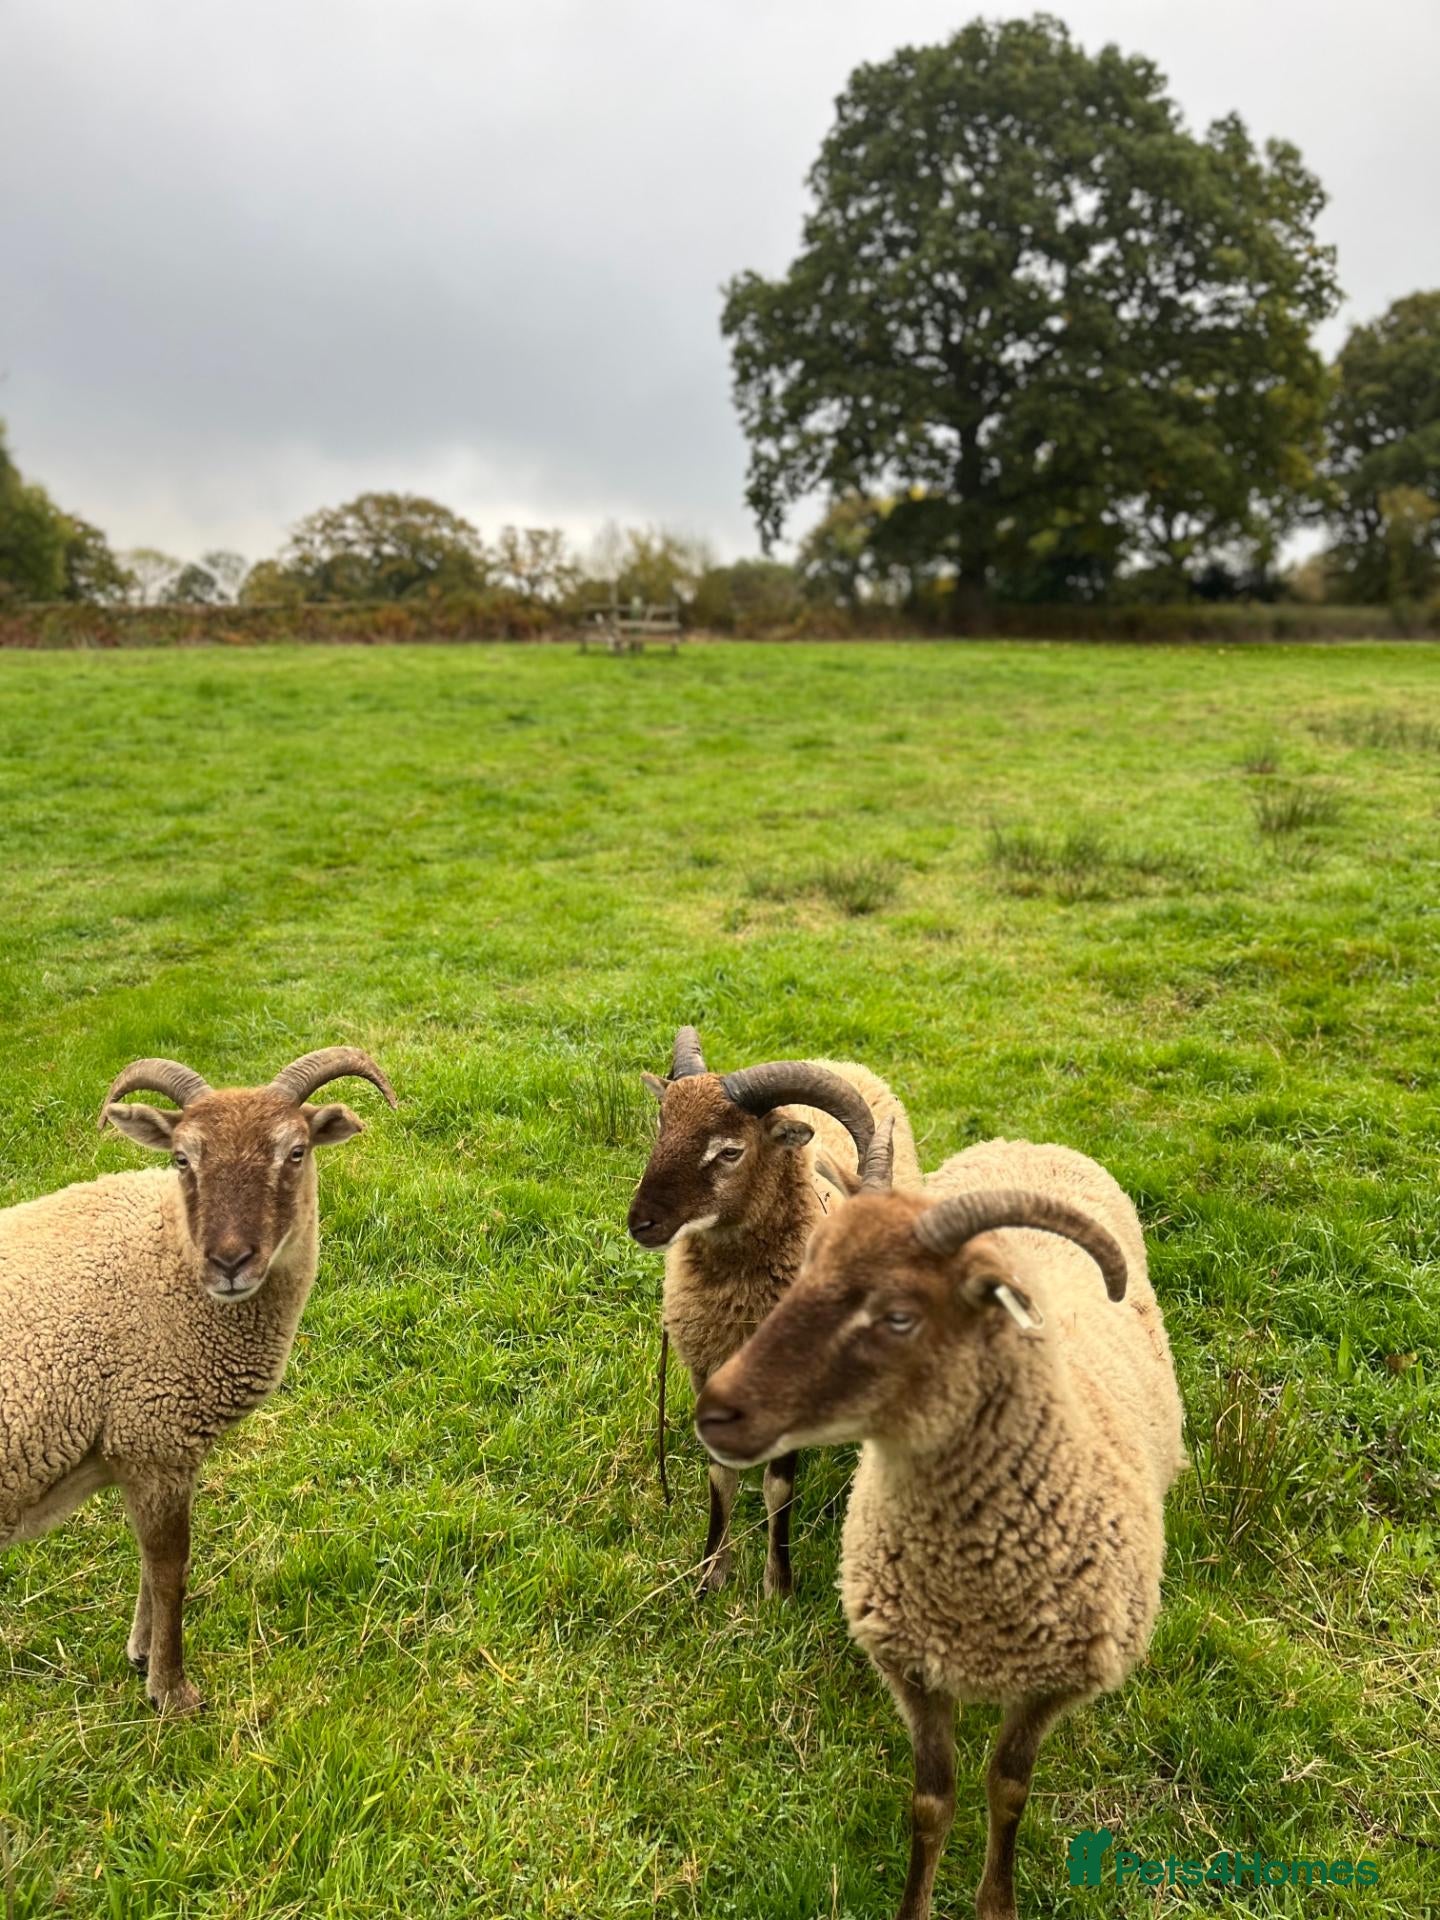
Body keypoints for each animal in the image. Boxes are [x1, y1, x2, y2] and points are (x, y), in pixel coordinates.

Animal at [0, 1047, 396, 1716]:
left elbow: (147, 1562)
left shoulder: (139, 1449)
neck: (170, 1256)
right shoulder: (155, 1435)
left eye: (296, 1151)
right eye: (182, 1159)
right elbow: (170, 1571)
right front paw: (171, 1688)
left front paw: (140, 1653)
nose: (230, 1262)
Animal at [627, 1025, 920, 1597]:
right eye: (661, 1126)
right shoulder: (705, 1369)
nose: (641, 1222)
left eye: (730, 1151)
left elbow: (779, 1487)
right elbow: (720, 1474)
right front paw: (710, 1575)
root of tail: (839, 1060)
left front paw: (777, 1586)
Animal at [696, 1123, 1186, 1920]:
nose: (715, 1410)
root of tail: (1031, 1140)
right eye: (802, 1272)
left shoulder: (1055, 1685)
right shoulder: (912, 1669)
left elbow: (1008, 1789)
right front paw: (916, 1906)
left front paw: (997, 1902)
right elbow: (932, 1801)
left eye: (900, 1316)